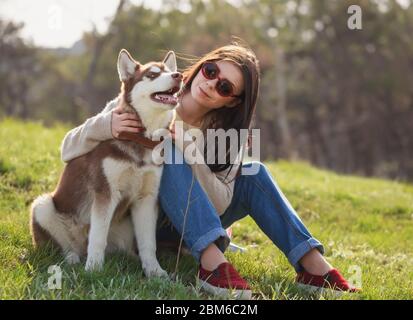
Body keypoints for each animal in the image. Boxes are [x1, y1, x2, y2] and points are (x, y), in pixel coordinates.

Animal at [30, 48, 182, 276]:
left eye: (169, 71)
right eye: (152, 75)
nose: (179, 75)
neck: (141, 139)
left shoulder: (146, 198)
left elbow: (148, 243)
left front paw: (154, 271)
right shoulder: (105, 193)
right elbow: (97, 237)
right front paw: (93, 269)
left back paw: (130, 258)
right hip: (43, 206)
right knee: (65, 247)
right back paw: (72, 258)